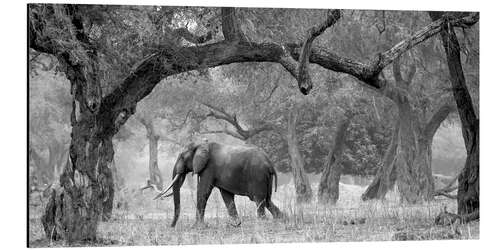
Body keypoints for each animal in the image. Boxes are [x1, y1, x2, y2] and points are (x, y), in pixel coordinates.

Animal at [152, 142, 286, 228]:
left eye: (181, 157)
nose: (171, 226)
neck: (200, 144)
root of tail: (269, 163)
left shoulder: (208, 168)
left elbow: (203, 191)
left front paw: (197, 227)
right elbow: (226, 195)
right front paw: (235, 224)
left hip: (257, 175)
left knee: (259, 199)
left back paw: (262, 223)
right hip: (265, 178)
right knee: (267, 200)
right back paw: (281, 219)